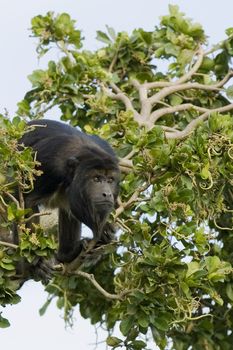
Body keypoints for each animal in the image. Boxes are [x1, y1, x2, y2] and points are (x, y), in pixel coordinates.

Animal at [16, 119, 120, 270]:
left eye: (110, 180)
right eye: (96, 179)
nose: (107, 193)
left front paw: (105, 232)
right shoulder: (49, 166)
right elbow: (27, 202)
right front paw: (36, 260)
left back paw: (68, 255)